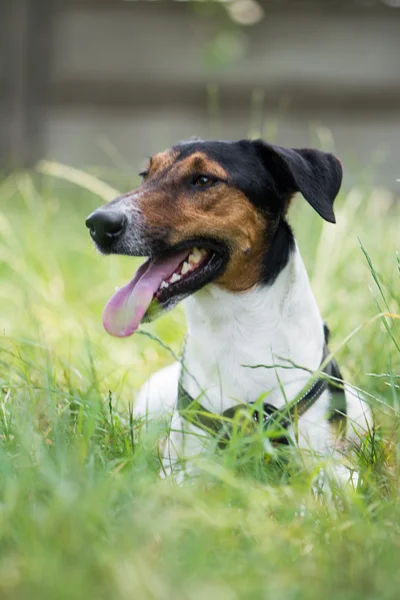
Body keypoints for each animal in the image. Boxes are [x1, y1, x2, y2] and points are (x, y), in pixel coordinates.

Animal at [86, 138, 372, 480]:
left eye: (204, 180)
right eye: (146, 174)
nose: (98, 224)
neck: (237, 331)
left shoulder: (334, 468)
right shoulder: (182, 468)